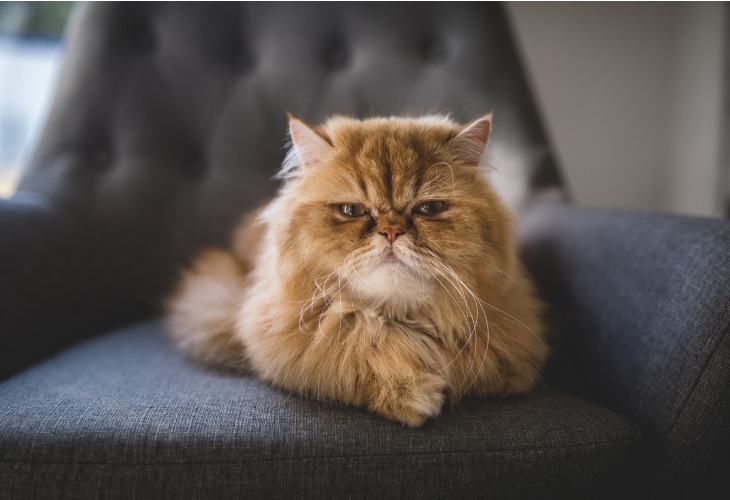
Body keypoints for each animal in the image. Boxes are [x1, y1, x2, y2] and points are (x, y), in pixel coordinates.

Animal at [165, 113, 544, 426]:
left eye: (429, 208)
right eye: (351, 210)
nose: (391, 232)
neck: (396, 320)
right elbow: (351, 363)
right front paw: (408, 395)